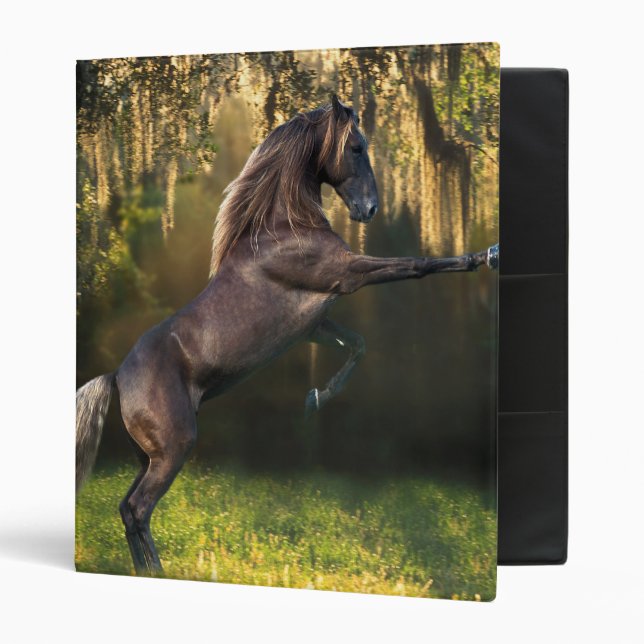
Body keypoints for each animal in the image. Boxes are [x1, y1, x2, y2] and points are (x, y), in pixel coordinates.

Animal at [76, 95, 498, 576]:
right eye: (356, 147)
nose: (369, 209)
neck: (284, 228)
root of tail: (116, 377)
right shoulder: (349, 275)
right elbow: (418, 264)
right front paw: (483, 255)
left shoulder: (313, 325)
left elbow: (357, 345)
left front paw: (315, 399)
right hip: (172, 449)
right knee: (139, 509)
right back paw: (157, 571)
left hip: (147, 457)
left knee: (127, 509)